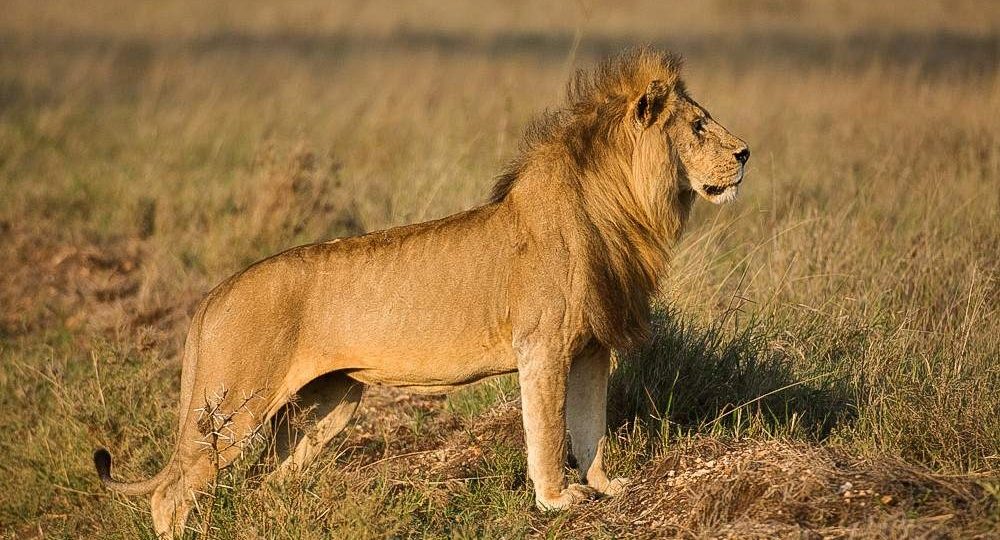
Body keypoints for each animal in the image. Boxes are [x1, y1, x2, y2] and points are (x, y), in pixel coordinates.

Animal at [93, 47, 748, 537]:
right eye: (697, 127)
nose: (746, 153)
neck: (621, 206)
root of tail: (213, 296)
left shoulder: (591, 348)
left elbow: (591, 427)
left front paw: (606, 487)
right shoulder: (542, 347)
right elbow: (547, 427)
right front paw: (556, 499)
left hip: (331, 406)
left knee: (266, 483)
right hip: (234, 405)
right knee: (171, 492)